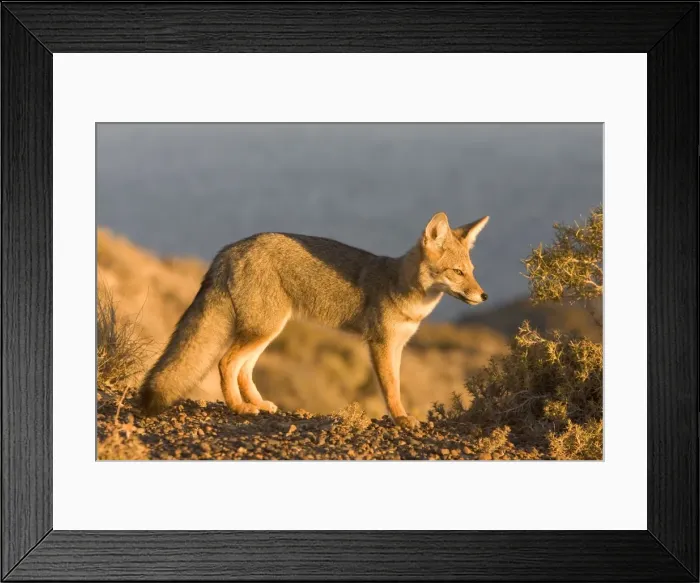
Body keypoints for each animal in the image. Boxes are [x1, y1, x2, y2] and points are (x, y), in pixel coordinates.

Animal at [139, 211, 490, 429]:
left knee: (244, 369)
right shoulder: (381, 344)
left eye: (472, 271)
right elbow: (391, 388)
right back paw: (239, 408)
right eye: (457, 273)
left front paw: (402, 415)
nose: (484, 296)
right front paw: (401, 418)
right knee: (226, 363)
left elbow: (397, 384)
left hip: (268, 330)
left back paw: (258, 404)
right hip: (263, 329)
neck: (399, 286)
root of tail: (228, 249)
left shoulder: (398, 346)